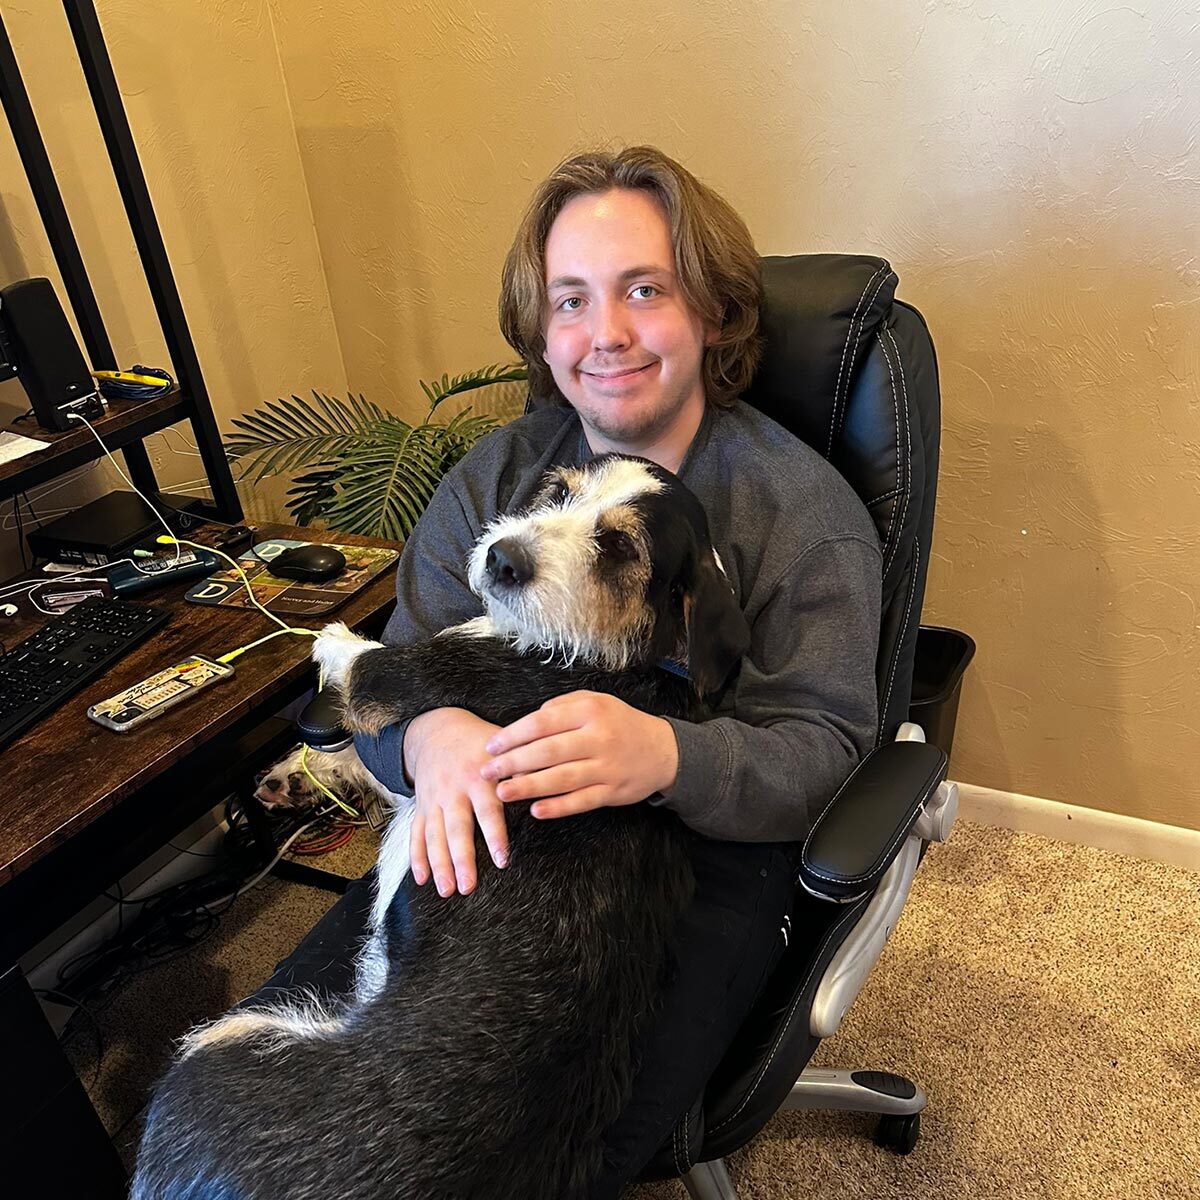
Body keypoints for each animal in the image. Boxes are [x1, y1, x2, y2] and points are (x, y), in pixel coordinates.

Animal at [133, 451, 748, 1200]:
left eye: (621, 547)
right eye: (558, 491)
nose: (501, 558)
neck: (608, 655)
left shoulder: (402, 679)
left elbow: (357, 659)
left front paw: (324, 643)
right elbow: (370, 764)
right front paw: (296, 774)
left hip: (224, 1043)